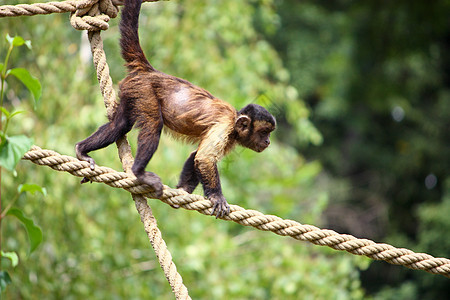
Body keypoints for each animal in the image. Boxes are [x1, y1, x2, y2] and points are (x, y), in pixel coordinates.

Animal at [75, 0, 276, 217]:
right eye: (264, 132)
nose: (268, 141)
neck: (235, 121)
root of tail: (150, 71)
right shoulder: (225, 125)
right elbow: (204, 159)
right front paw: (216, 196)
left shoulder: (231, 137)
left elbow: (195, 156)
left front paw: (183, 190)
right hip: (145, 90)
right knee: (153, 124)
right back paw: (139, 172)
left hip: (132, 90)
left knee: (119, 125)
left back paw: (82, 150)